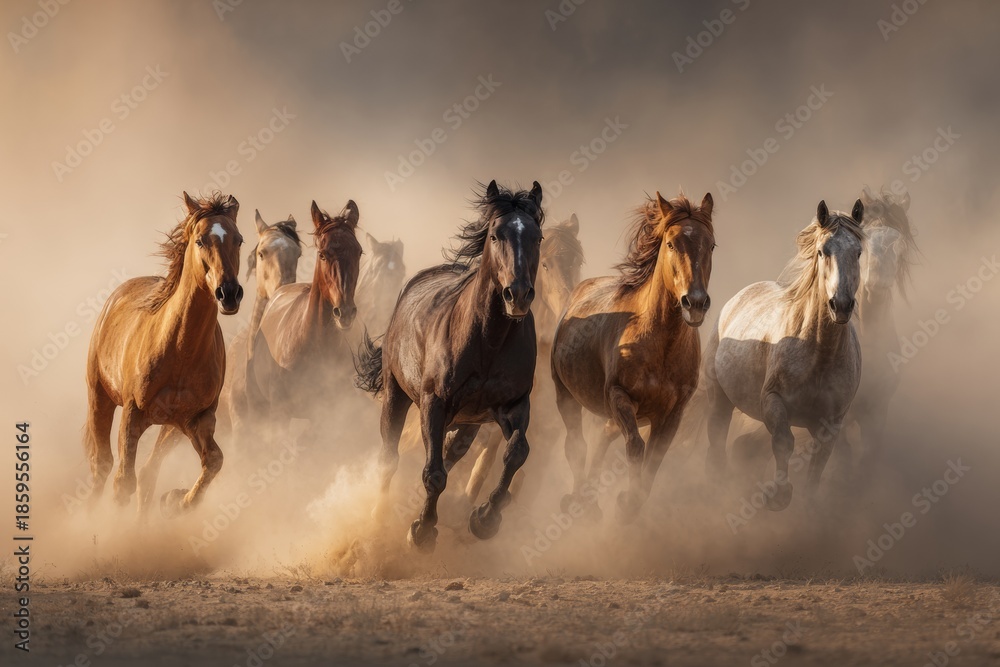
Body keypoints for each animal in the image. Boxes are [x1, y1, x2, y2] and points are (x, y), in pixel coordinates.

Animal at [83, 192, 243, 517]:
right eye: (200, 240)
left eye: (239, 240)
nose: (229, 293)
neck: (181, 351)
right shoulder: (132, 413)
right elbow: (123, 482)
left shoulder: (197, 419)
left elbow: (214, 461)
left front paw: (177, 500)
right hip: (99, 397)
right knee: (102, 466)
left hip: (171, 427)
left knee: (148, 473)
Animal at [355, 179, 544, 551]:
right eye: (496, 235)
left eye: (537, 237)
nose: (517, 294)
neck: (488, 341)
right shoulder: (434, 403)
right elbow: (434, 473)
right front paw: (422, 531)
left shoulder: (514, 405)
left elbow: (517, 452)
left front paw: (486, 518)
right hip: (396, 396)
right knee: (390, 457)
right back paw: (378, 517)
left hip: (469, 421)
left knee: (451, 451)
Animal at [551, 192, 715, 523]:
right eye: (671, 244)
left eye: (712, 245)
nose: (695, 303)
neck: (661, 347)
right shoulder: (619, 396)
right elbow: (636, 448)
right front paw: (626, 500)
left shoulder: (672, 414)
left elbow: (654, 460)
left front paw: (631, 502)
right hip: (567, 397)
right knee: (577, 446)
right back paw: (577, 501)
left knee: (601, 439)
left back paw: (590, 501)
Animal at [704, 199, 864, 511]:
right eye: (822, 251)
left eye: (859, 252)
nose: (840, 305)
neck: (819, 354)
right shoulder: (773, 401)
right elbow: (783, 442)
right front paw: (778, 495)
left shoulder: (831, 422)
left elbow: (819, 463)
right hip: (719, 398)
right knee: (716, 441)